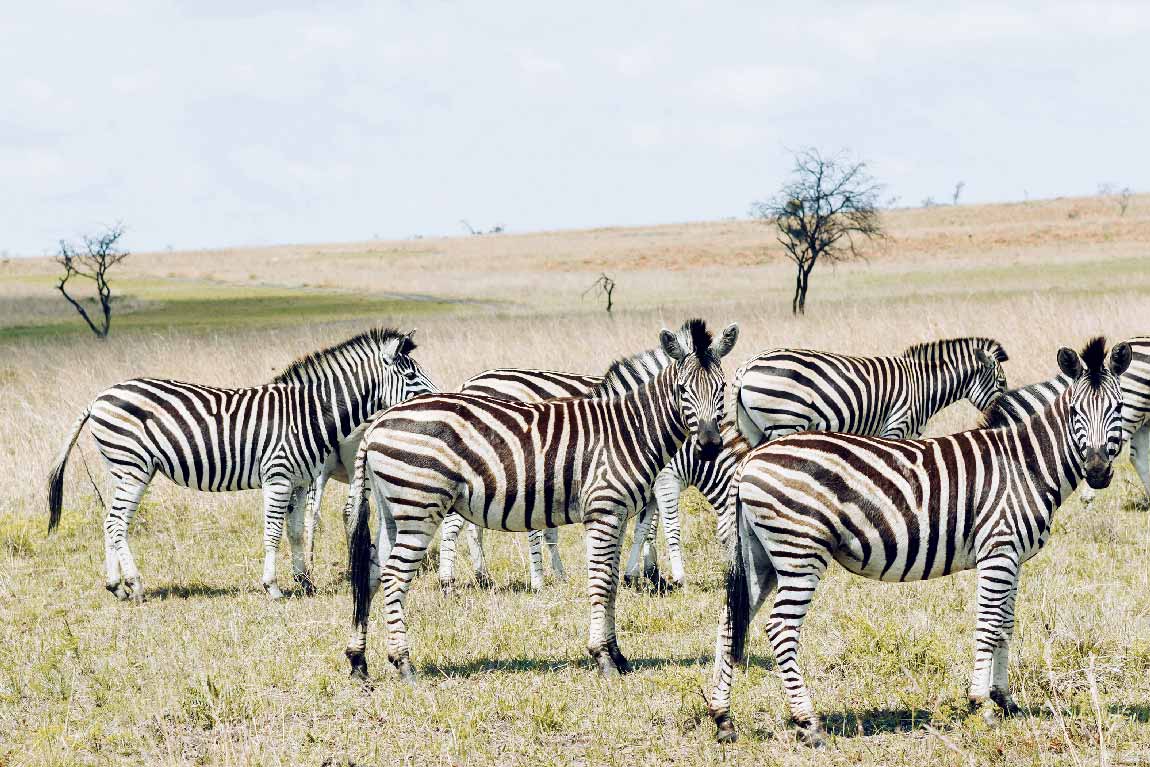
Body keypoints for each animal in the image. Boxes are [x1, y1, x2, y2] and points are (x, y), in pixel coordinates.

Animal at [44, 326, 434, 602]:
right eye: (411, 376)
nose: (437, 399)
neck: (306, 414)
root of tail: (99, 398)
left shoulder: (299, 481)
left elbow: (295, 531)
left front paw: (304, 582)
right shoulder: (278, 476)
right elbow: (273, 532)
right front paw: (272, 587)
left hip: (123, 469)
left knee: (110, 521)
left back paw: (116, 586)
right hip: (133, 467)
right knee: (116, 522)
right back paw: (135, 585)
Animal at [340, 321, 736, 680]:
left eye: (722, 388)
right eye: (682, 389)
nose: (709, 445)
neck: (630, 431)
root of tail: (378, 423)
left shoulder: (620, 513)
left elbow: (612, 581)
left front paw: (618, 654)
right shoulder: (604, 509)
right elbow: (601, 582)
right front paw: (603, 657)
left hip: (394, 511)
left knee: (373, 571)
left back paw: (359, 661)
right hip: (419, 507)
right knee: (394, 577)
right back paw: (403, 664)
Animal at [736, 335, 1007, 443]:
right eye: (1002, 384)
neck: (923, 386)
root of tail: (747, 366)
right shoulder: (895, 427)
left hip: (754, 429)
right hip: (785, 422)